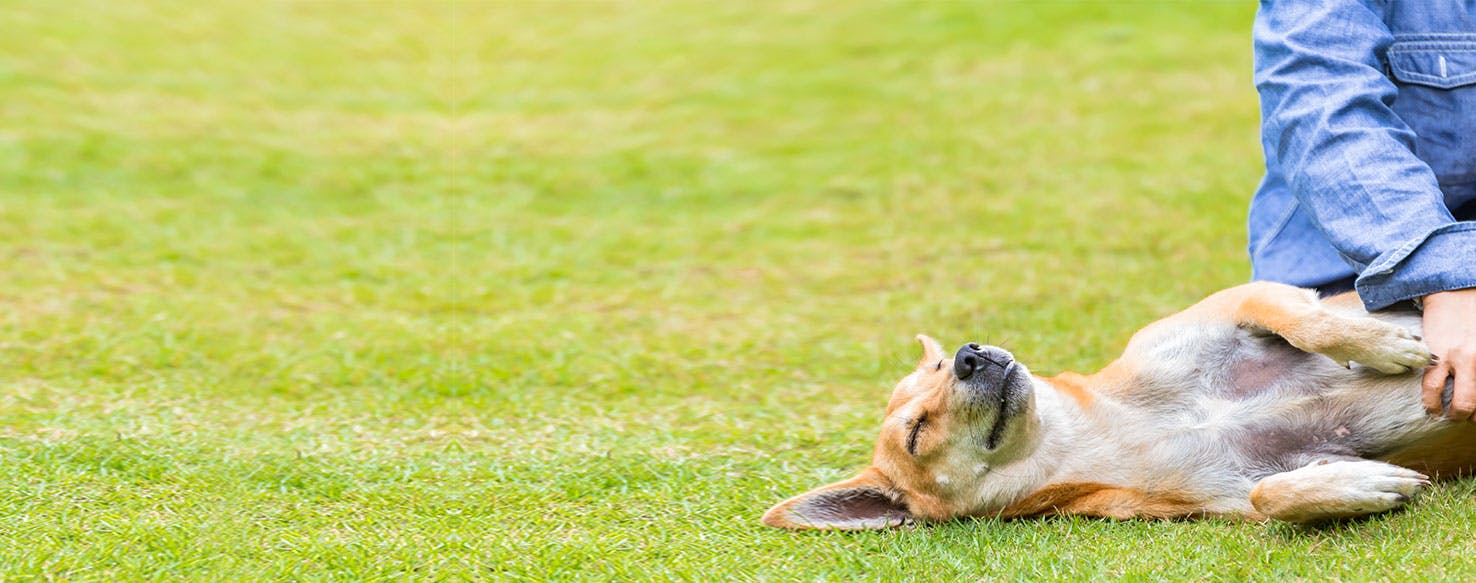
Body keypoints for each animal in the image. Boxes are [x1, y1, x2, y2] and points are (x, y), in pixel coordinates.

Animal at [761, 283, 1476, 528]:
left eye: (937, 369)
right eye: (916, 431)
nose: (968, 354)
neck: (1114, 428)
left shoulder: (1244, 300)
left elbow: (1301, 315)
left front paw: (1376, 342)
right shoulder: (1225, 498)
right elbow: (1270, 496)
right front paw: (1358, 485)